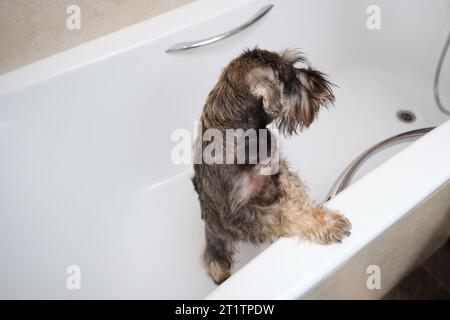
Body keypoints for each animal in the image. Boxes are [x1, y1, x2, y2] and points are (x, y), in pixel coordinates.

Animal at [190, 48, 352, 284]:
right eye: (290, 78)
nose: (319, 80)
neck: (247, 140)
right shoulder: (240, 215)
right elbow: (284, 214)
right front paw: (327, 224)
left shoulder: (279, 171)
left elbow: (295, 196)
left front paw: (316, 211)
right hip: (216, 231)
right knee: (215, 254)